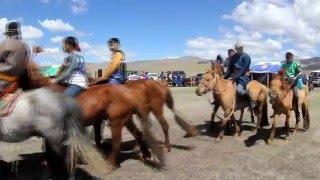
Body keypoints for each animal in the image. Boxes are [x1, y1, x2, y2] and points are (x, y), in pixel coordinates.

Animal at [25, 60, 165, 167]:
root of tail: (127, 91)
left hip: (118, 120)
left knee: (118, 140)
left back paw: (111, 163)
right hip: (126, 119)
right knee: (138, 133)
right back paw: (145, 154)